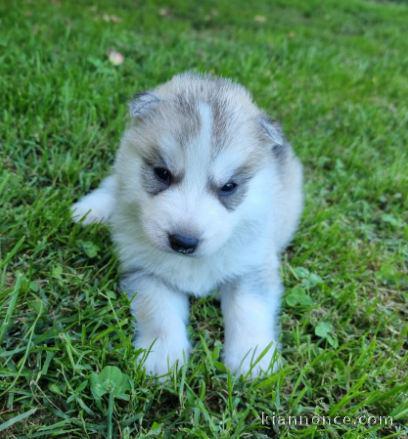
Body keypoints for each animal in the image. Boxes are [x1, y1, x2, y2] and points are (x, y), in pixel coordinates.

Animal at [71, 72, 302, 378]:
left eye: (229, 186)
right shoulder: (145, 271)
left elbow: (249, 308)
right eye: (162, 173)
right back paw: (91, 209)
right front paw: (163, 355)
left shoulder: (253, 265)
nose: (183, 241)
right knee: (114, 184)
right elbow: (158, 311)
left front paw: (252, 358)